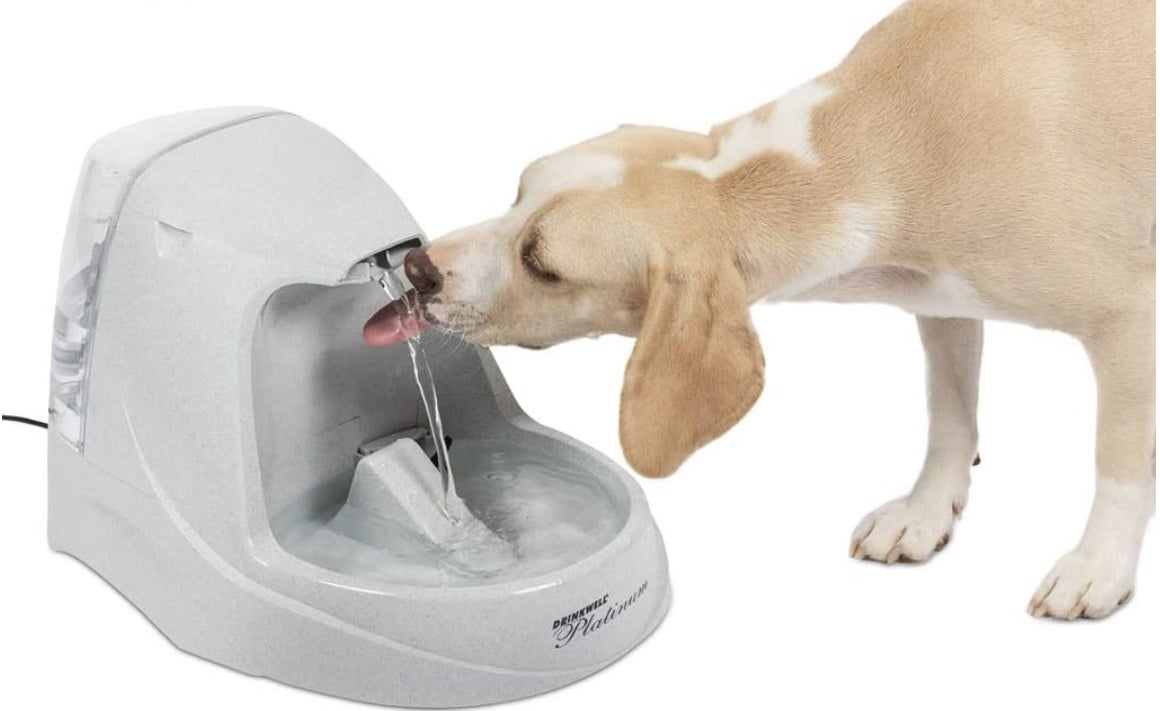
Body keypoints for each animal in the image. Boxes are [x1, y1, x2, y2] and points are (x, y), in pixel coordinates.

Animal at [361, 0, 1150, 617]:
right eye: (518, 192)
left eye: (541, 263)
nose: (417, 269)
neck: (888, 133)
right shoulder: (943, 303)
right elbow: (951, 416)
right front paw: (925, 511)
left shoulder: (1128, 318)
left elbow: (1117, 462)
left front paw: (1099, 566)